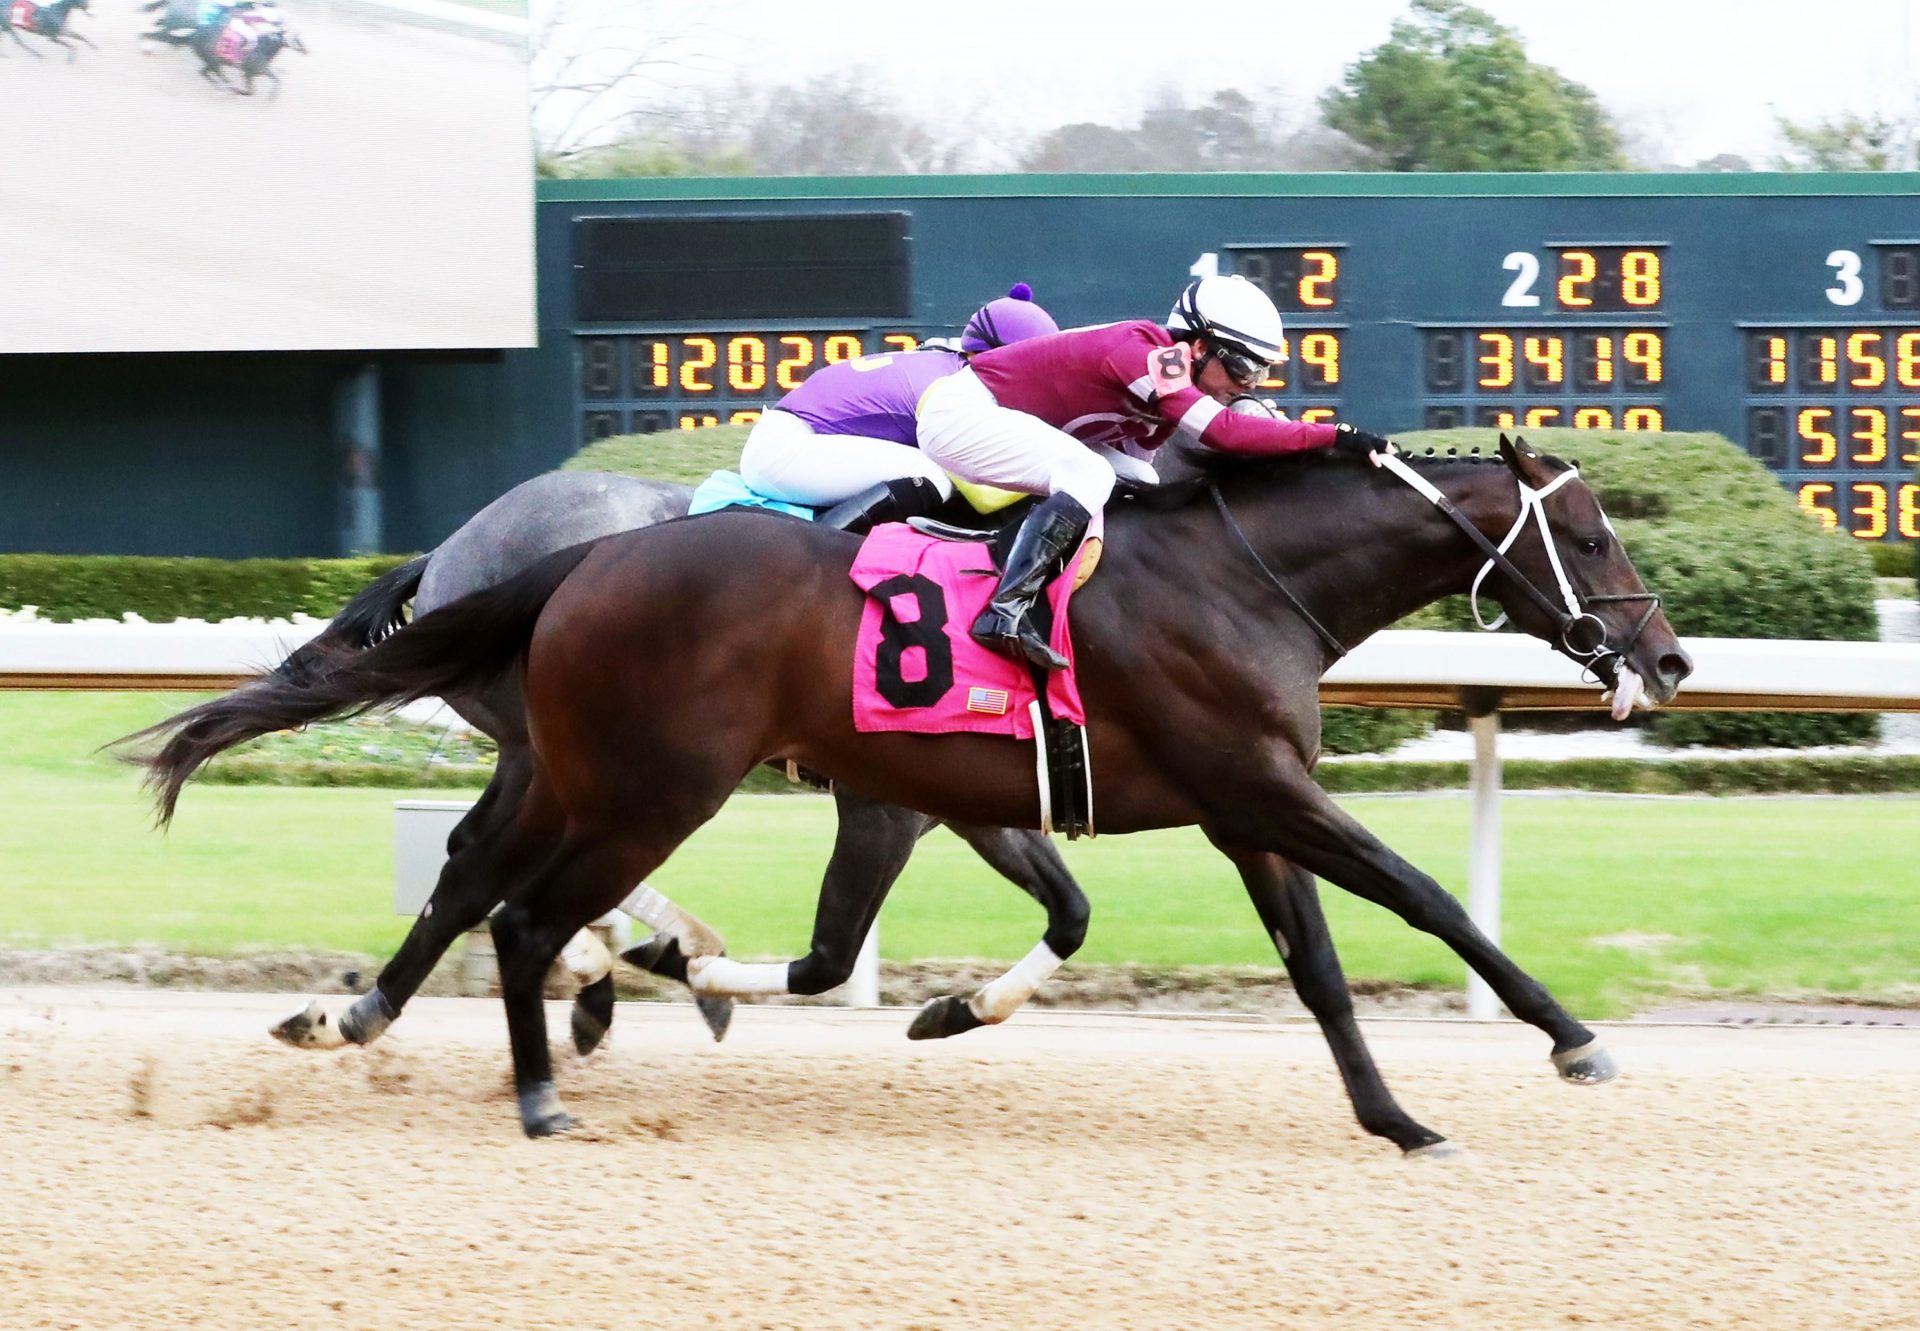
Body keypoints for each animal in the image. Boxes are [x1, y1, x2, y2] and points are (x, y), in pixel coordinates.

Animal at [139, 435, 1697, 1144]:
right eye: (1593, 533)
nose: (1668, 654)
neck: (1235, 574)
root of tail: (558, 554)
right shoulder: (1251, 786)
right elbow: (1429, 899)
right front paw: (1573, 1036)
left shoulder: (1224, 802)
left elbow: (1301, 960)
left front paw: (1395, 1115)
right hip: (646, 778)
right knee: (517, 903)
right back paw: (548, 1062)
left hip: (582, 765)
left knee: (479, 873)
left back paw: (388, 1011)